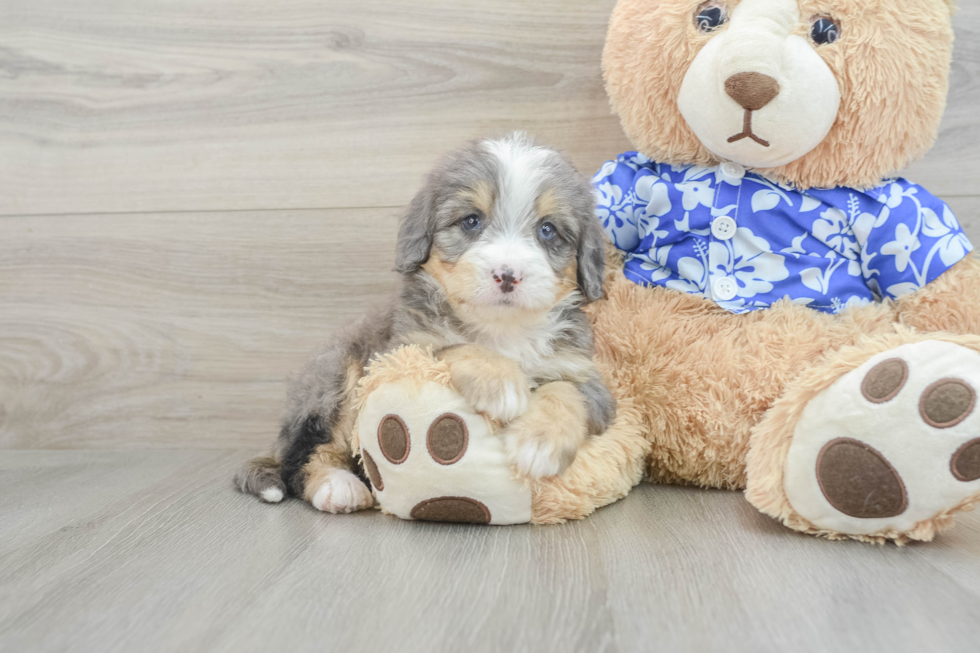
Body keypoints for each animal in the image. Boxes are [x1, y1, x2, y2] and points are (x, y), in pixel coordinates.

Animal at [235, 131, 612, 510]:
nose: (508, 275)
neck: (502, 329)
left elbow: (567, 391)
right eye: (472, 220)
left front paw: (539, 442)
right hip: (337, 376)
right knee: (305, 457)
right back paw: (336, 485)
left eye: (548, 230)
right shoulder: (403, 348)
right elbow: (456, 347)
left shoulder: (585, 374)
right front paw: (500, 382)